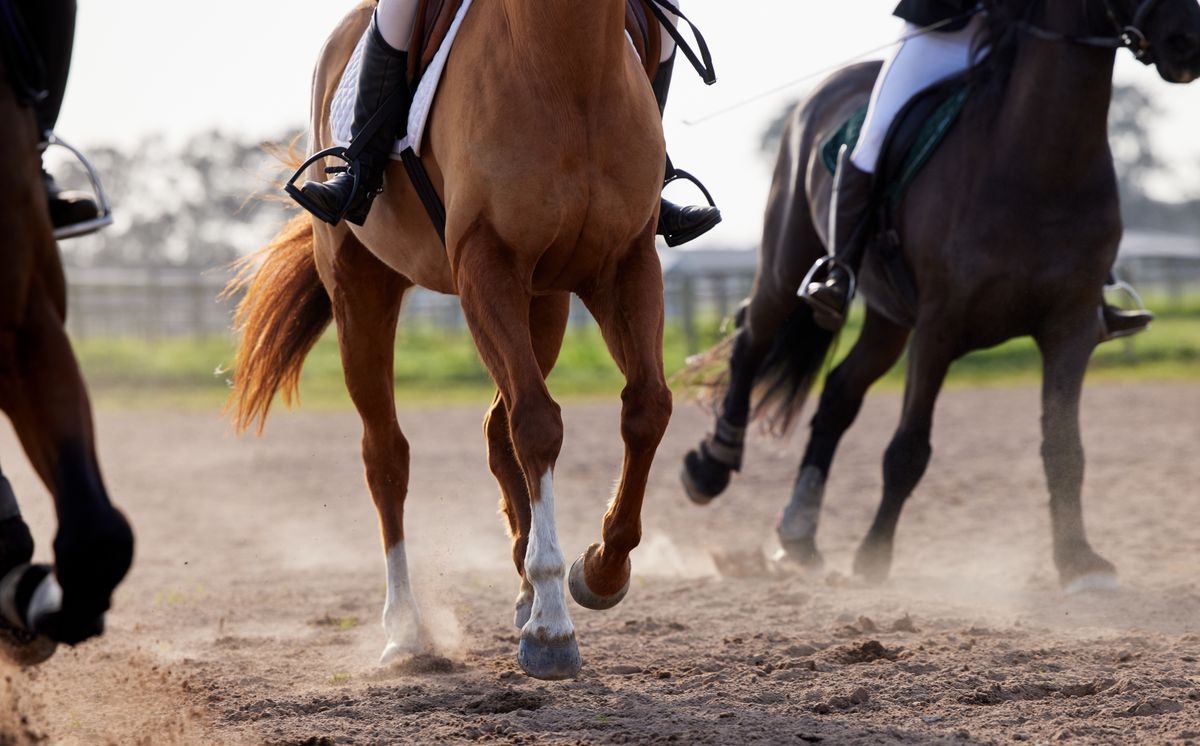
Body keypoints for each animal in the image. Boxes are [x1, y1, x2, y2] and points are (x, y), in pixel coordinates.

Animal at [681, 0, 1200, 592]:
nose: (1187, 43)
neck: (1039, 163)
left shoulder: (1070, 329)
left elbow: (1065, 447)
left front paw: (1079, 561)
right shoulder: (939, 328)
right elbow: (908, 449)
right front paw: (874, 557)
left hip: (889, 318)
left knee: (838, 393)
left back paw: (798, 533)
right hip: (786, 260)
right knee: (752, 340)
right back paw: (711, 468)